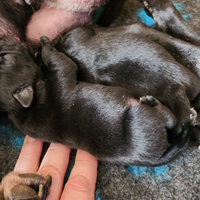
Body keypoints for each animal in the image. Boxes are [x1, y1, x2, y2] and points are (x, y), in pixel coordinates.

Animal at [0, 36, 194, 200]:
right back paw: (152, 101)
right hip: (146, 117)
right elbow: (58, 60)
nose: (4, 37)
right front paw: (45, 44)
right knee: (169, 118)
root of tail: (157, 158)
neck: (20, 107)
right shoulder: (61, 73)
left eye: (3, 57)